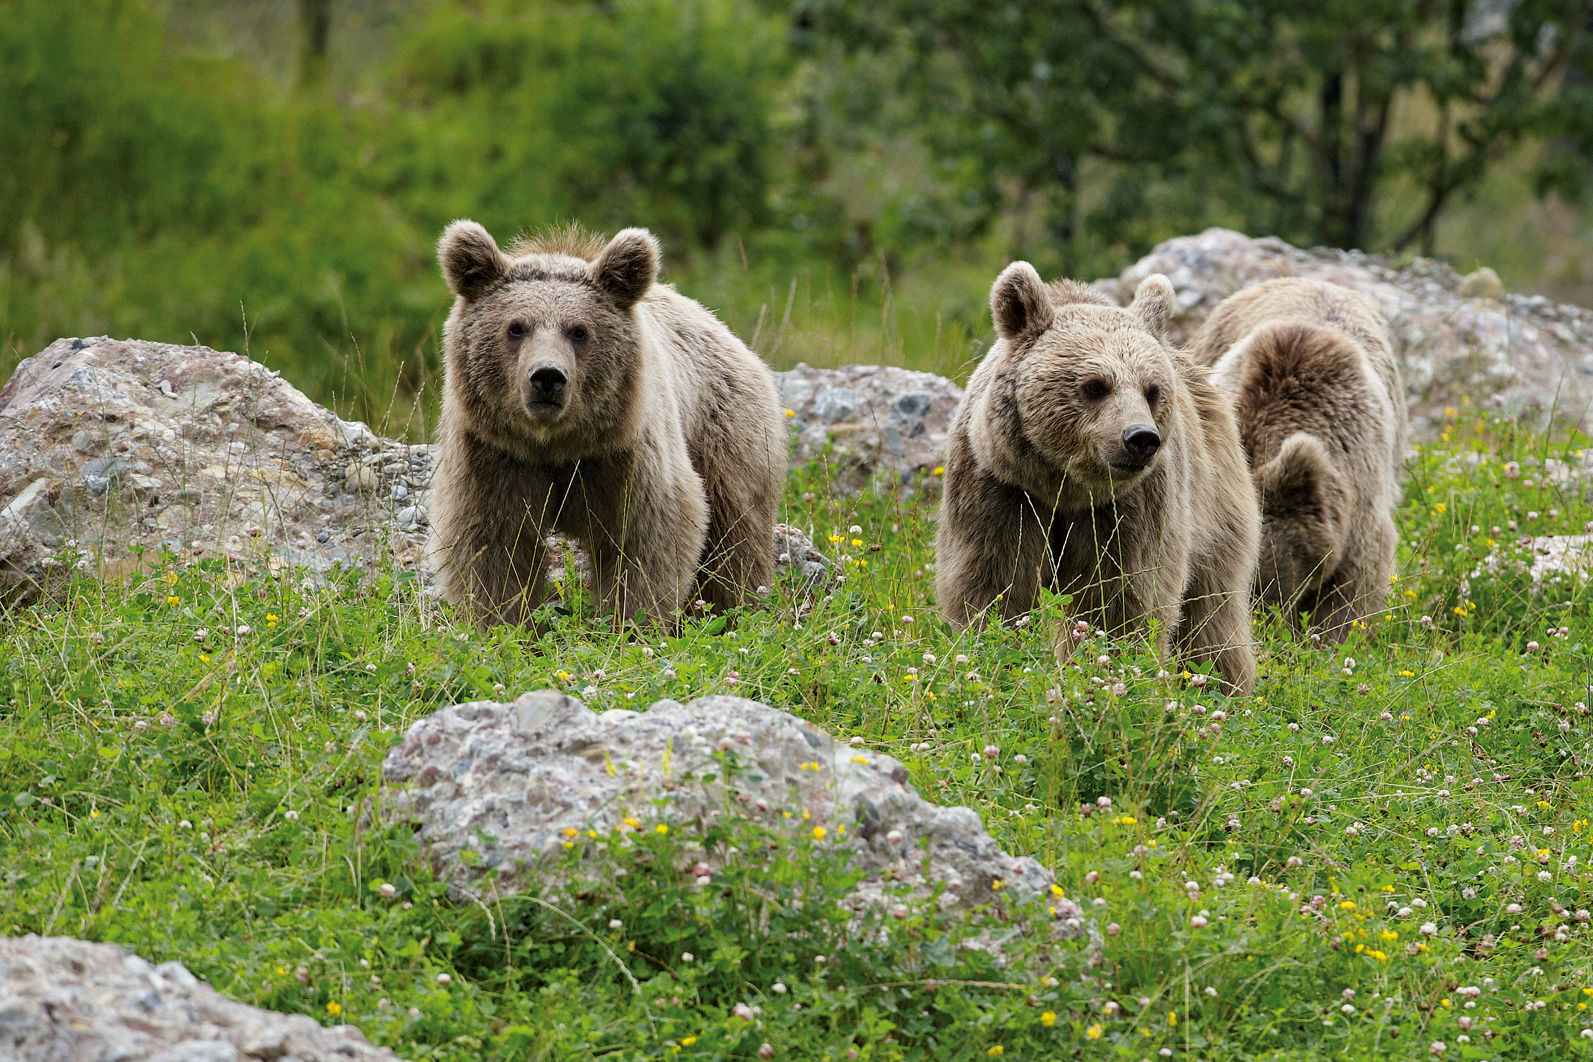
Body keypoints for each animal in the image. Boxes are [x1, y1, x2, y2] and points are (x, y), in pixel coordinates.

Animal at [430, 219, 783, 627]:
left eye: (578, 330)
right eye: (516, 327)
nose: (547, 376)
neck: (556, 444)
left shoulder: (626, 456)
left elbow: (646, 539)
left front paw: (629, 621)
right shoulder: (494, 454)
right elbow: (493, 543)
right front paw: (503, 622)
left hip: (724, 435)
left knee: (735, 540)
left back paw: (735, 612)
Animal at [930, 264, 1255, 694]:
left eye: (1152, 390)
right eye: (1095, 386)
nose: (1140, 438)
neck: (1063, 485)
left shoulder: (1127, 508)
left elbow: (1117, 599)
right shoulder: (1000, 489)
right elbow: (993, 585)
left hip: (1215, 499)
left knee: (1213, 606)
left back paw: (1222, 685)